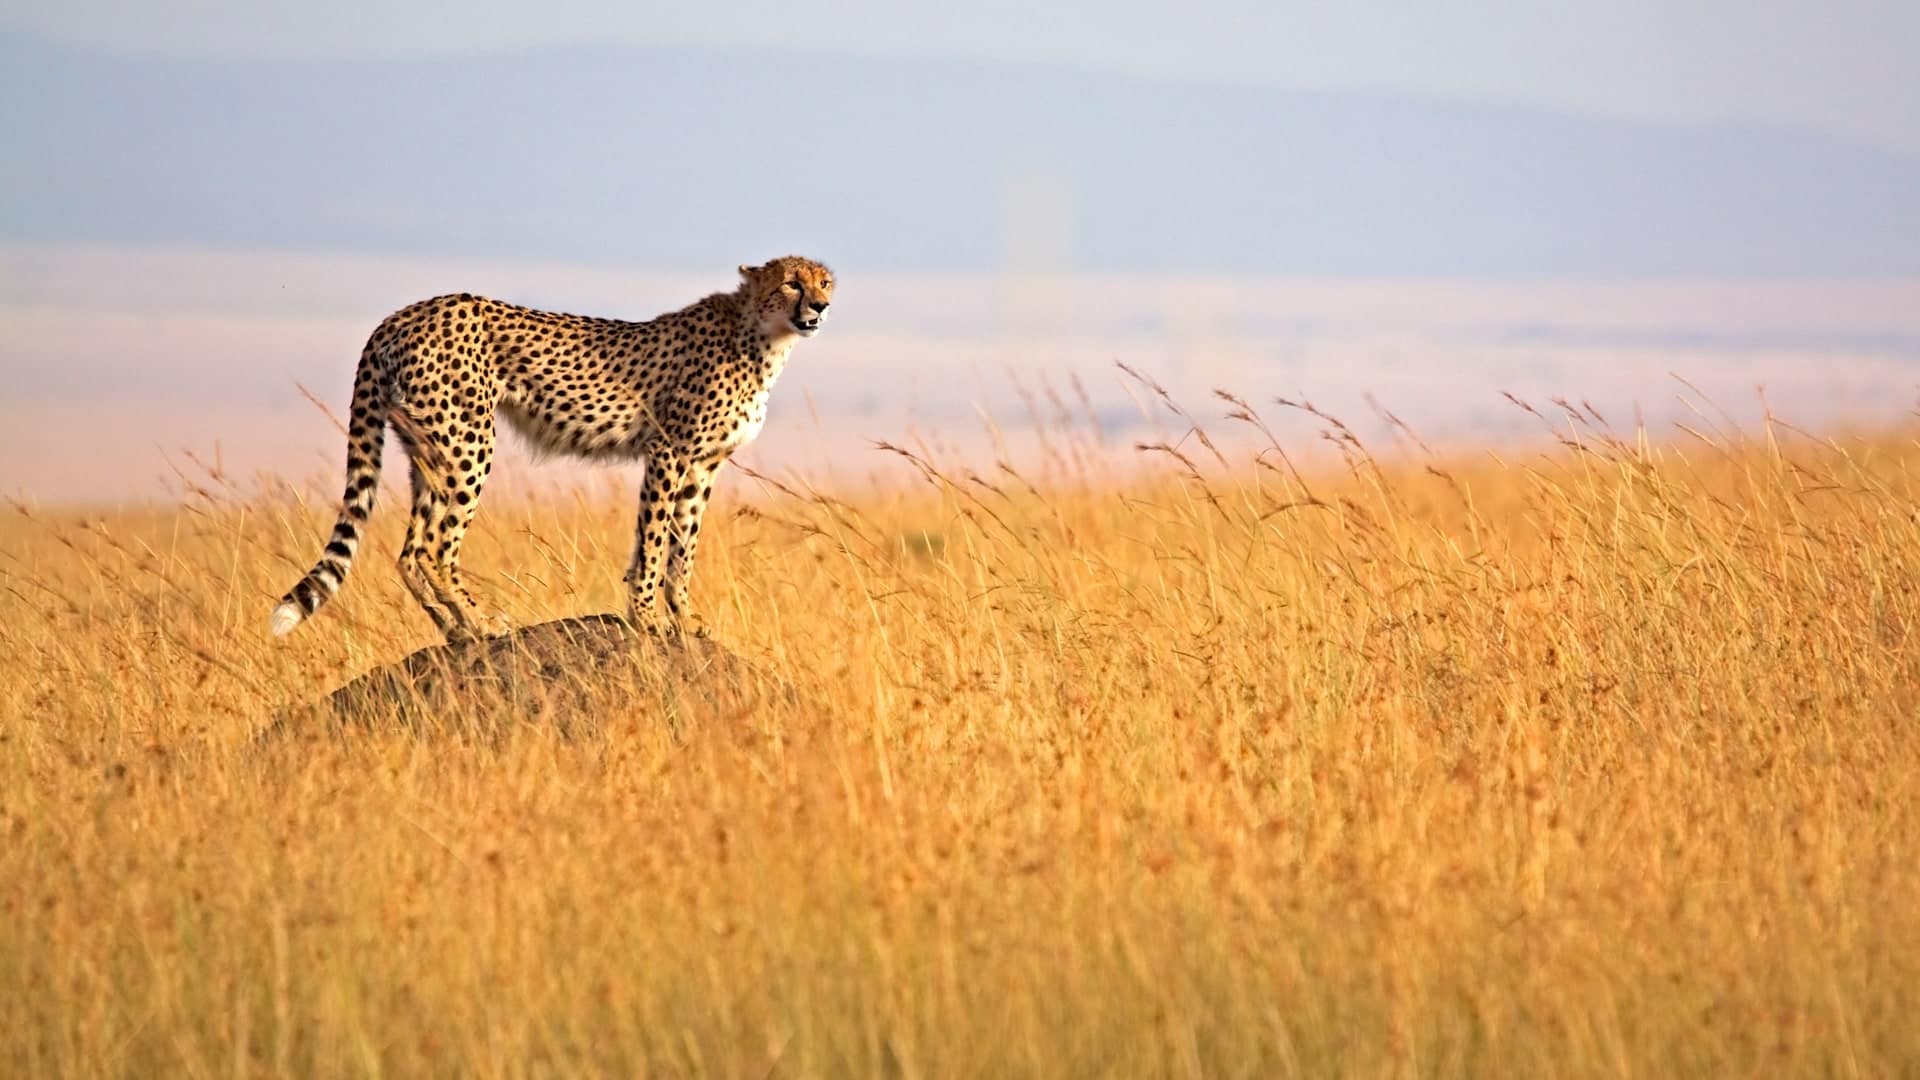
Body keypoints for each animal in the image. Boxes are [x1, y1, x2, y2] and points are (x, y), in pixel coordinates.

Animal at [269, 255, 835, 642]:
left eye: (824, 281)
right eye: (791, 282)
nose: (821, 306)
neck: (762, 336)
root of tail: (404, 313)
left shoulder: (702, 465)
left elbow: (681, 546)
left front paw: (684, 617)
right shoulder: (669, 451)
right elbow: (655, 541)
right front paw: (647, 617)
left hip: (428, 448)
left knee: (410, 552)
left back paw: (454, 631)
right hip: (468, 442)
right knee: (436, 547)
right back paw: (483, 622)